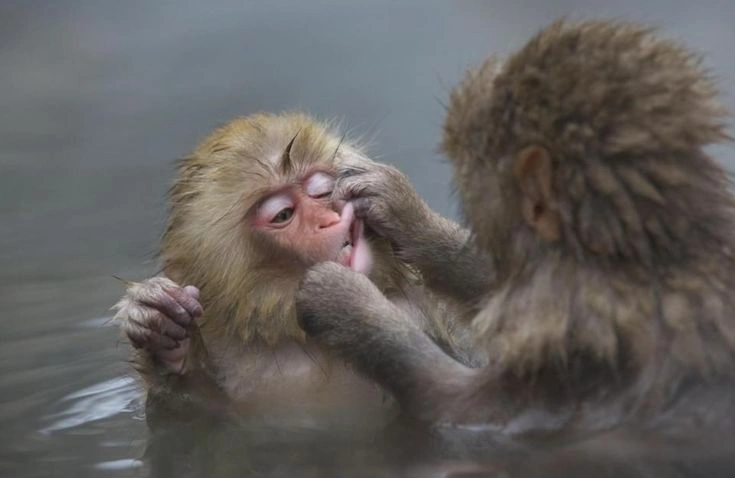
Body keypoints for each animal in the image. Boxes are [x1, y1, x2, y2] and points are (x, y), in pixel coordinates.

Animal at [112, 112, 476, 421]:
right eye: (283, 214)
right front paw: (163, 333)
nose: (329, 221)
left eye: (322, 192)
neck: (297, 329)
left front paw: (401, 209)